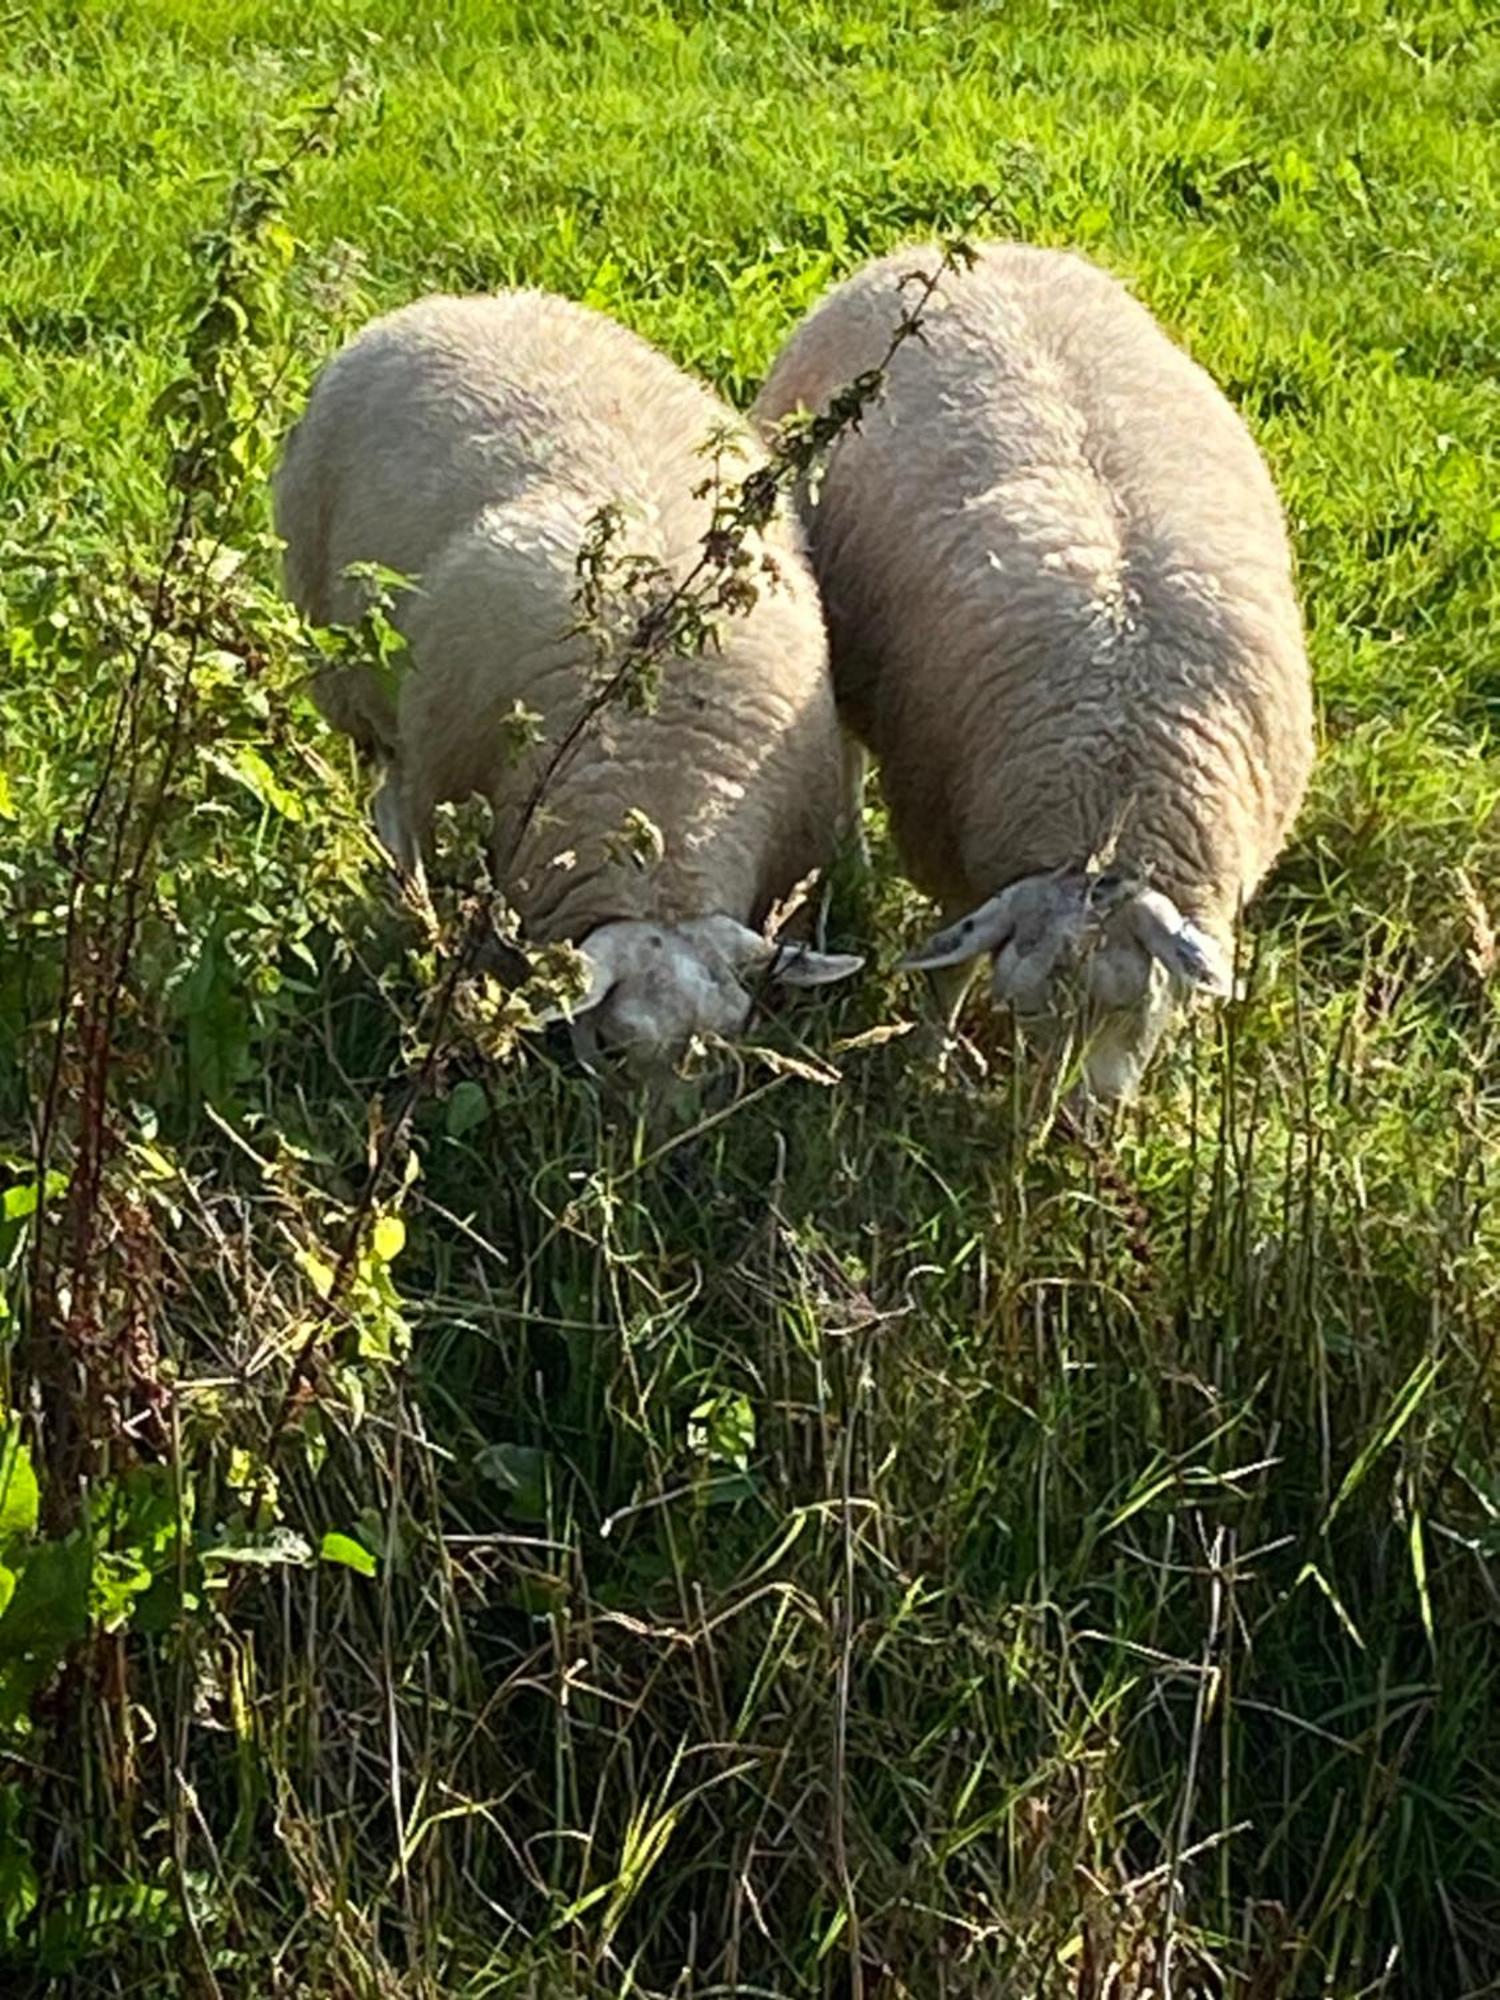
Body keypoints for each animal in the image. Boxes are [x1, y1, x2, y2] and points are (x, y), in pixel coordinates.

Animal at [276, 292, 864, 1072]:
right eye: (612, 1047)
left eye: (727, 1041)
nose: (661, 1120)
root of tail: (468, 301)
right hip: (355, 689)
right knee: (389, 801)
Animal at [752, 246, 1312, 1112]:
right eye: (1022, 1011)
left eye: (1136, 1005)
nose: (1076, 1121)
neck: (1113, 792)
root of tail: (955, 243)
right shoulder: (952, 851)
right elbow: (948, 974)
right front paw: (929, 1063)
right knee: (840, 743)